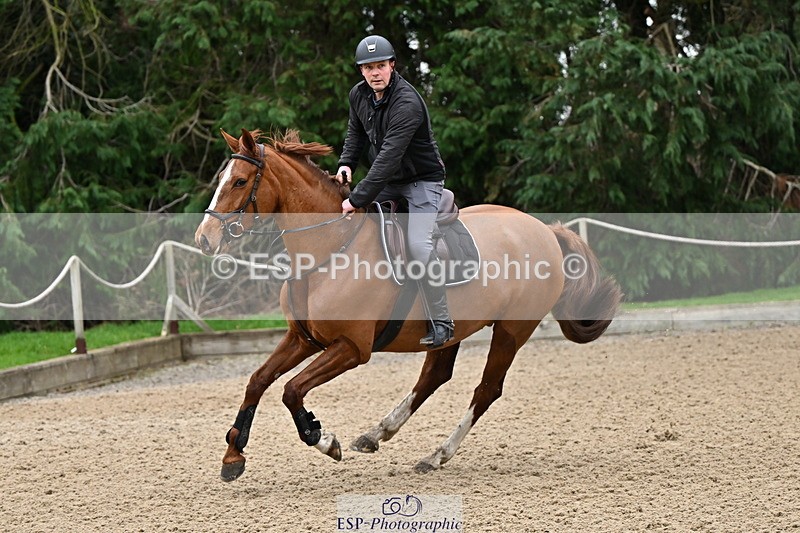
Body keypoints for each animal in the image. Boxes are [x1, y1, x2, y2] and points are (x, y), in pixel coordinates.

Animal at [194, 128, 623, 481]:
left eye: (240, 181)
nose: (204, 238)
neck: (332, 248)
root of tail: (544, 230)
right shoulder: (302, 339)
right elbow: (258, 381)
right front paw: (233, 456)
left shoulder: (352, 348)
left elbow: (291, 390)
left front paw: (322, 438)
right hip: (452, 332)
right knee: (433, 376)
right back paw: (377, 433)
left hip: (511, 331)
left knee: (486, 390)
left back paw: (436, 455)